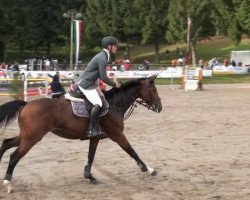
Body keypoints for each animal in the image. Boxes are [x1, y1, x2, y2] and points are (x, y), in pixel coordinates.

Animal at [0, 74, 162, 193]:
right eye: (153, 90)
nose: (160, 108)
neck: (114, 105)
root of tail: (27, 104)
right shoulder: (118, 135)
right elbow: (132, 151)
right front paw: (148, 169)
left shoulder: (95, 137)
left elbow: (90, 156)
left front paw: (89, 177)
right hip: (32, 138)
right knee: (14, 156)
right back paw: (8, 183)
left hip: (26, 136)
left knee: (6, 143)